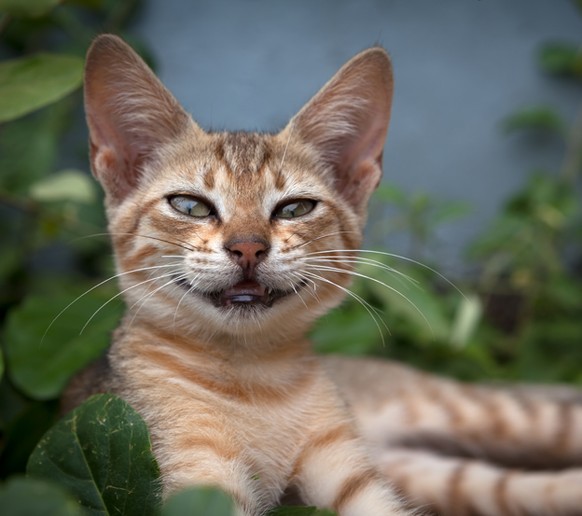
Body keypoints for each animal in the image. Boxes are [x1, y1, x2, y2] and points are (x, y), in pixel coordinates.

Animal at [62, 34, 582, 512]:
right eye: (190, 205)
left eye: (295, 208)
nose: (247, 246)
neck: (255, 383)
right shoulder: (195, 478)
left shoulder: (349, 472)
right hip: (439, 477)